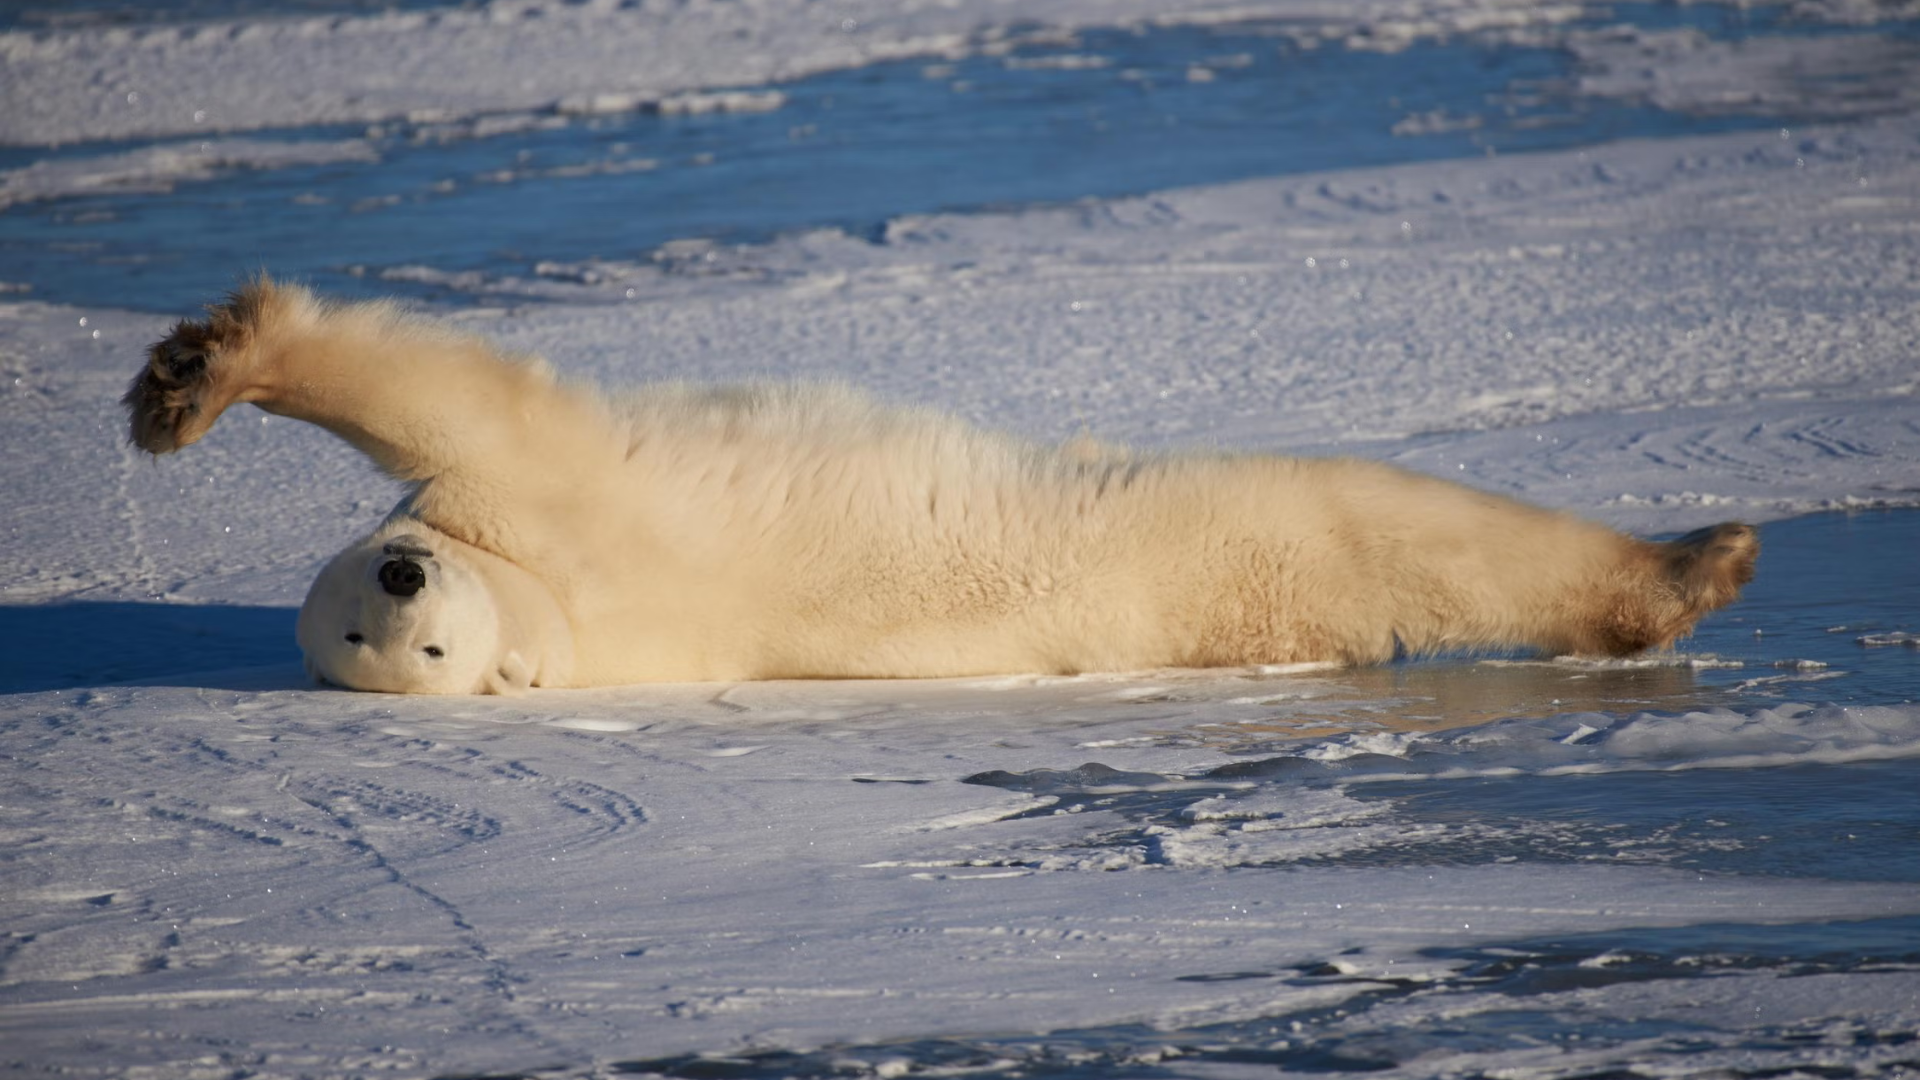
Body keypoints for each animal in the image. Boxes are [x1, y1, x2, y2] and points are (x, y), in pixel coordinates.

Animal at [123, 278, 1757, 694]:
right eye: (386, 636)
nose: (404, 573)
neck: (563, 620)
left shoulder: (533, 511)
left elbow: (438, 408)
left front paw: (185, 382)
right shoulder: (560, 534)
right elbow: (458, 410)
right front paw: (195, 375)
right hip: (1237, 557)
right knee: (1402, 534)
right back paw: (1692, 569)